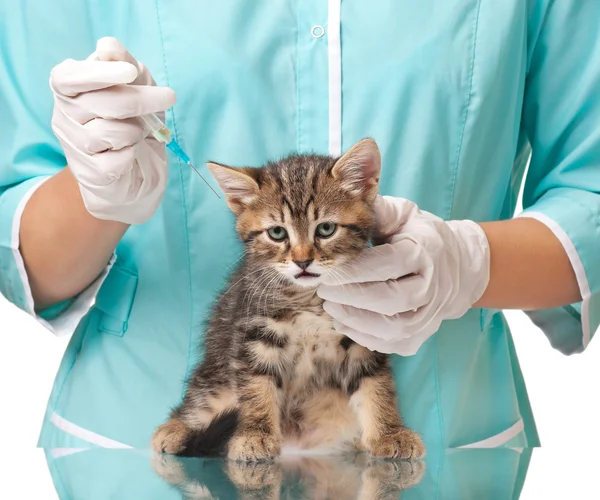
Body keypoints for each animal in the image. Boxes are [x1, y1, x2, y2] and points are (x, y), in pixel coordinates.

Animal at [155, 139, 426, 462]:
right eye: (276, 232)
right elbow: (256, 386)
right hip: (217, 378)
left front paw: (389, 432)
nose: (303, 261)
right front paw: (255, 434)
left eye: (326, 229)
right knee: (198, 402)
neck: (309, 298)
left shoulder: (361, 336)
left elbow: (375, 385)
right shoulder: (254, 333)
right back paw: (173, 430)